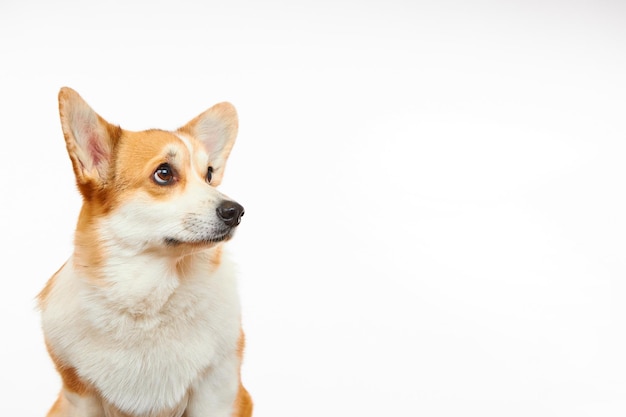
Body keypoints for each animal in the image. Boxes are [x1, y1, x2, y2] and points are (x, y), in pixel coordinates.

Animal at [36, 88, 250, 416]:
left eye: (209, 175)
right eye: (164, 173)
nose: (236, 212)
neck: (149, 298)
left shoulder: (218, 392)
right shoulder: (79, 397)